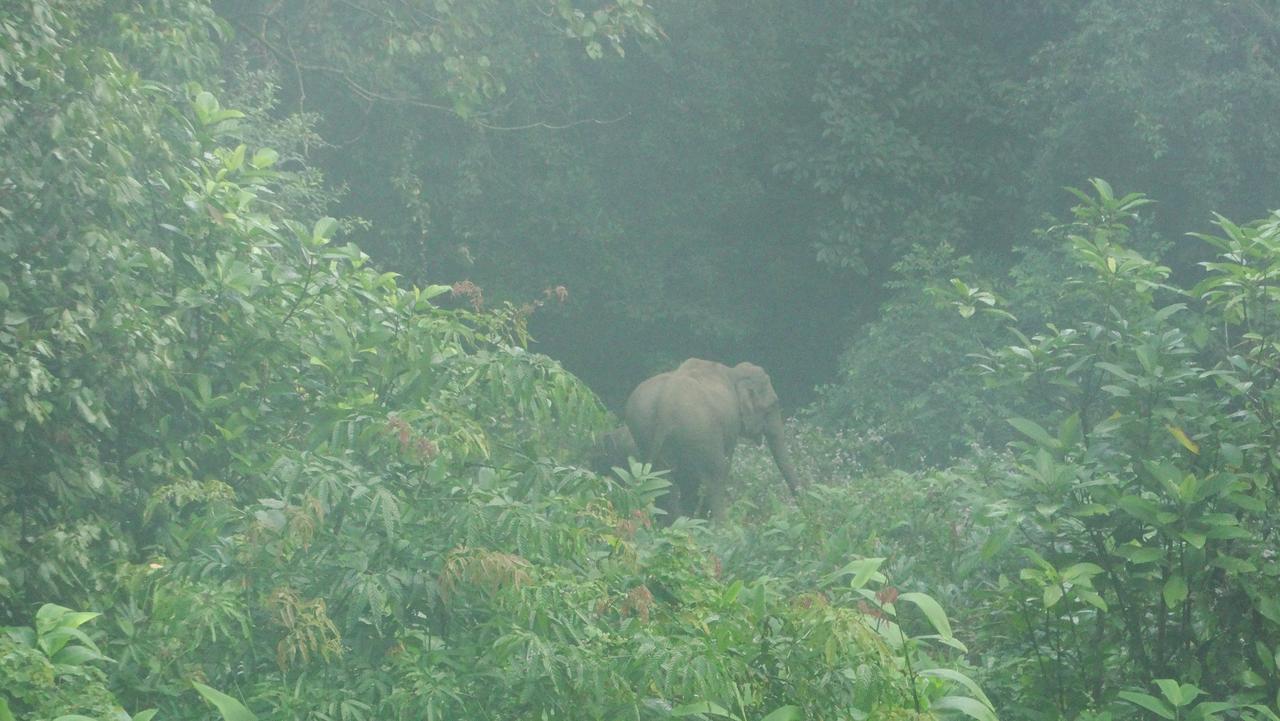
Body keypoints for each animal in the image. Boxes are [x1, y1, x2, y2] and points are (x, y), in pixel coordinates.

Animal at [624, 358, 803, 519]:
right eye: (773, 404)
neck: (733, 372)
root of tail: (665, 403)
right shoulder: (730, 425)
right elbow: (725, 463)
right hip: (701, 432)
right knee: (713, 476)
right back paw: (720, 526)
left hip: (647, 434)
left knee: (665, 483)